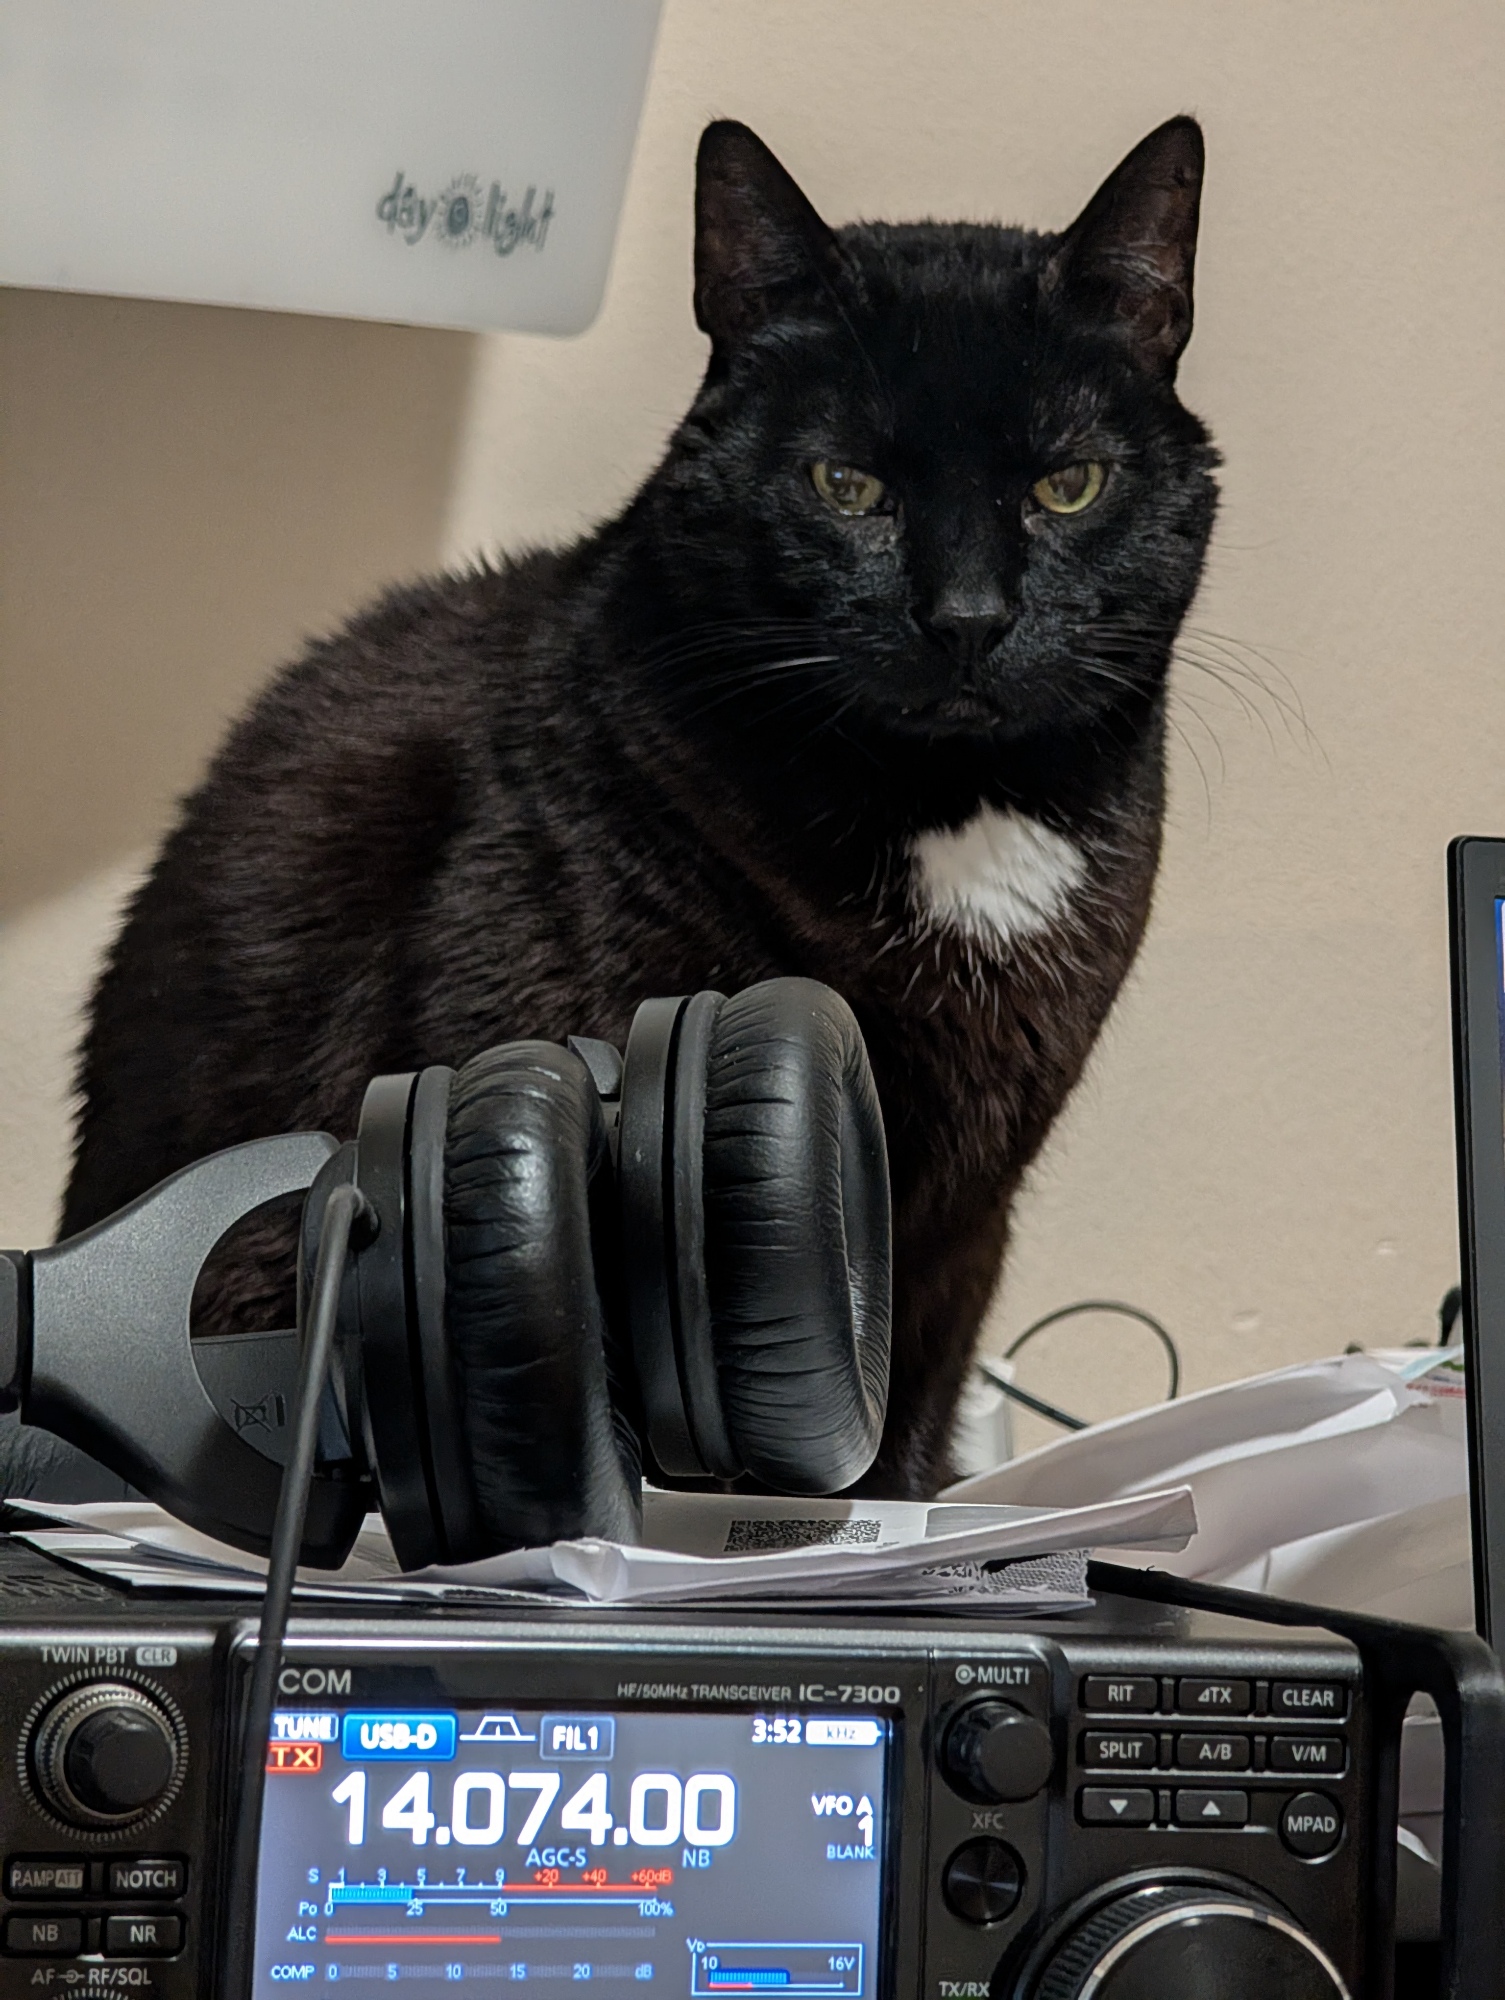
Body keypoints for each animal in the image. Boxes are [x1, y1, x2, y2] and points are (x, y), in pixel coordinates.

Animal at [61, 115, 1218, 1498]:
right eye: (844, 486)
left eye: (1067, 486)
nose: (968, 617)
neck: (953, 814)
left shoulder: (966, 1224)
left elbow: (911, 1420)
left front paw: (914, 1517)